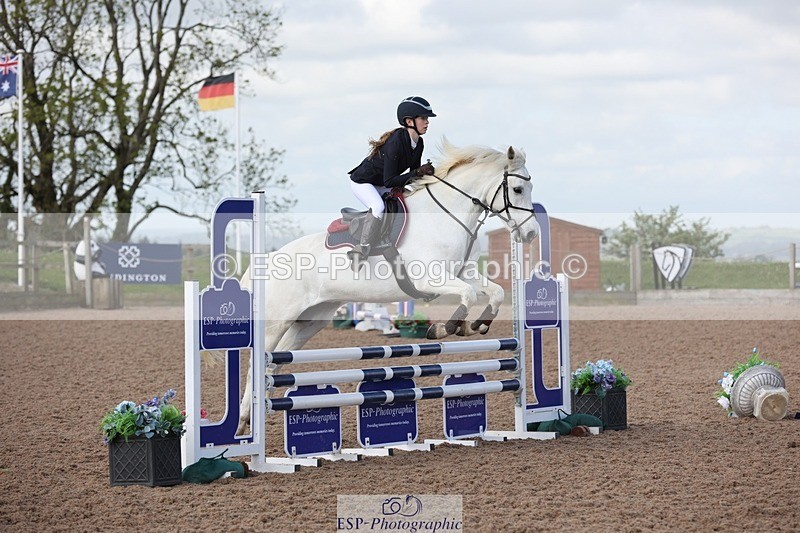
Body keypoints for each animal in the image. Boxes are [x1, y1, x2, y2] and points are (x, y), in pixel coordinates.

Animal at [234, 138, 538, 435]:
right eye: (517, 189)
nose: (531, 234)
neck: (445, 216)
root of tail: (266, 260)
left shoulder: (463, 272)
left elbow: (494, 292)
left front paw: (478, 325)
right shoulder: (430, 278)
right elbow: (469, 294)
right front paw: (445, 328)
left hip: (309, 321)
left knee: (275, 362)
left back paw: (255, 415)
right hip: (277, 321)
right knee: (255, 366)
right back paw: (243, 421)